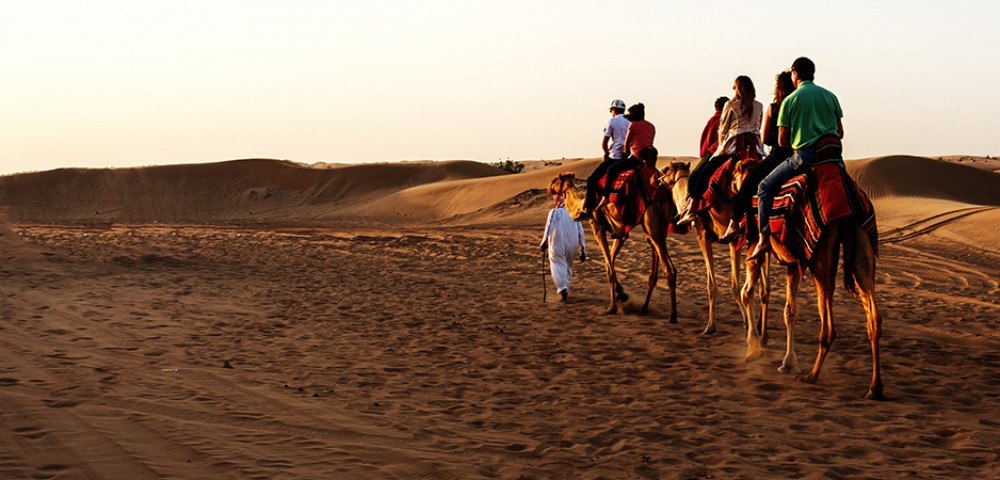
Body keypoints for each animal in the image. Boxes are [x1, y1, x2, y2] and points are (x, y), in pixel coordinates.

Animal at [548, 161, 680, 318]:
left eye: (555, 180)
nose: (549, 187)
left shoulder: (597, 227)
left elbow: (609, 265)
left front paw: (612, 307)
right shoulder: (621, 233)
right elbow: (609, 261)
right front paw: (621, 294)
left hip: (651, 224)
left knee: (670, 269)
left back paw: (672, 316)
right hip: (658, 228)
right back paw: (645, 308)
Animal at [660, 161, 768, 338]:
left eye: (665, 170)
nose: (657, 177)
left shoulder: (704, 236)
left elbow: (713, 285)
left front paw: (710, 326)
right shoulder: (733, 240)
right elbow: (735, 285)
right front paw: (747, 322)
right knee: (766, 286)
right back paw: (761, 329)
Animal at [732, 161, 888, 402]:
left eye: (735, 176)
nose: (732, 186)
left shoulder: (755, 247)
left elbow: (747, 293)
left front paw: (753, 350)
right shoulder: (793, 264)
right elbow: (790, 311)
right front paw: (788, 363)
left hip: (820, 258)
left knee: (828, 325)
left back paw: (812, 375)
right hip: (862, 245)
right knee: (873, 319)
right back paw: (874, 388)